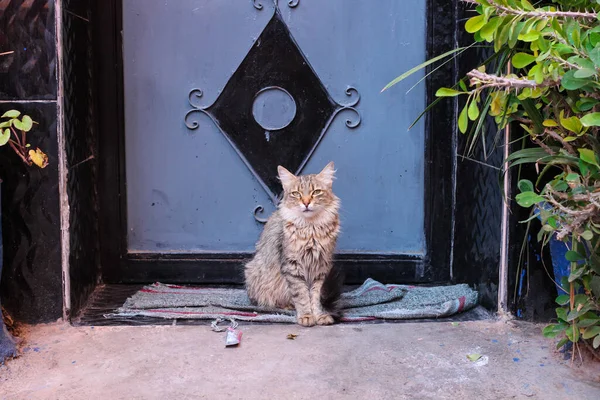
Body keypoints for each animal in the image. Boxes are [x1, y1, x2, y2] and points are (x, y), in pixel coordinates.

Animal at [245, 161, 342, 326]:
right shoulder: (292, 266)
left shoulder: (321, 267)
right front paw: (306, 316)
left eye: (316, 192)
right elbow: (301, 295)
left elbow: (316, 297)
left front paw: (320, 315)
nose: (306, 202)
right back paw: (289, 306)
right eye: (296, 194)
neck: (311, 229)